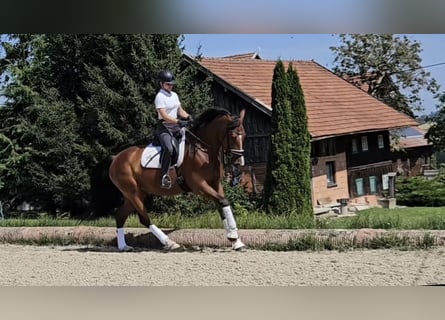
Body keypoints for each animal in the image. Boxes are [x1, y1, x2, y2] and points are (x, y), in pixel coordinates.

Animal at [91, 109, 246, 251]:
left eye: (243, 136)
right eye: (233, 136)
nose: (239, 162)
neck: (204, 150)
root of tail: (116, 158)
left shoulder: (215, 184)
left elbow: (222, 205)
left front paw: (235, 241)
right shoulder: (199, 186)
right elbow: (223, 201)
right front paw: (233, 236)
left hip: (133, 194)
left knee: (120, 216)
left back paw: (124, 246)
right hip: (134, 193)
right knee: (144, 219)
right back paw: (170, 243)